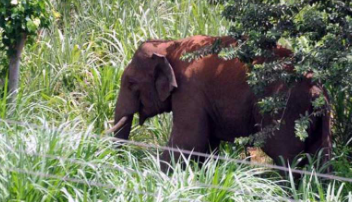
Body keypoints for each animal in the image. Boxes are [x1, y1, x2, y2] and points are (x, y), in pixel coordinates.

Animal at [108, 35, 332, 171]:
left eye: (131, 83)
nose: (120, 165)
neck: (169, 46)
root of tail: (315, 86)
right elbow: (207, 145)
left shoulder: (190, 90)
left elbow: (188, 141)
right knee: (320, 157)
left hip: (286, 111)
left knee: (286, 158)